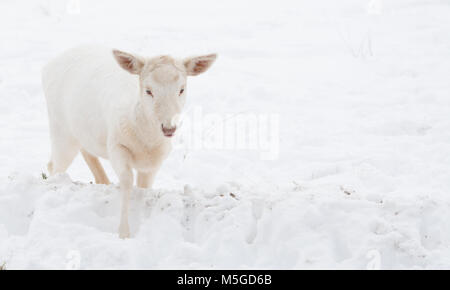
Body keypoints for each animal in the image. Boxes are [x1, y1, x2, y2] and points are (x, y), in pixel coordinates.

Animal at [42, 46, 216, 238]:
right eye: (148, 90)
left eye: (181, 89)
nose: (169, 128)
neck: (146, 142)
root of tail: (49, 65)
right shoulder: (116, 145)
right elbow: (126, 182)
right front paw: (124, 233)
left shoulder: (155, 161)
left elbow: (144, 188)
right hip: (60, 128)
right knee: (54, 165)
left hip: (81, 132)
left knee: (86, 152)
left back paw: (104, 182)